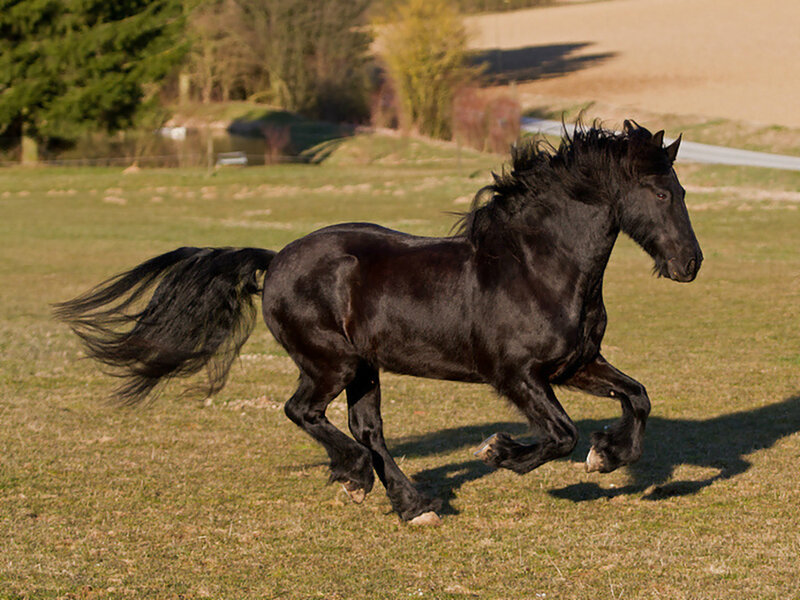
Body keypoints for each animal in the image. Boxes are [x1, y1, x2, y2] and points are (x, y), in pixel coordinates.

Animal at [54, 121, 702, 525]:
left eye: (681, 188)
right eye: (660, 194)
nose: (690, 263)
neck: (537, 267)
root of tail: (275, 259)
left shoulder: (575, 365)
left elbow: (638, 396)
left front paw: (607, 456)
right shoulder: (518, 375)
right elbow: (560, 434)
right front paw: (501, 451)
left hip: (363, 367)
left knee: (366, 429)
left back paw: (409, 502)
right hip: (334, 362)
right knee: (307, 413)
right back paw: (365, 479)